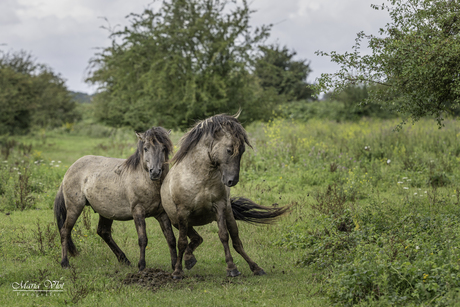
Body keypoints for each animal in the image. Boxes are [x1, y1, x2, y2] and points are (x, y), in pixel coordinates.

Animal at [53, 127, 177, 272]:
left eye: (163, 148)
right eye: (146, 148)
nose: (155, 172)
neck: (144, 180)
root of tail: (69, 170)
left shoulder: (162, 213)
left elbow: (171, 238)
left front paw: (175, 266)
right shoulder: (138, 211)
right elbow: (143, 239)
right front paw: (141, 266)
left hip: (106, 211)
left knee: (103, 232)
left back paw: (124, 260)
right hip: (74, 208)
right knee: (65, 231)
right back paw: (65, 263)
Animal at [161, 112, 288, 280]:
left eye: (242, 151)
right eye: (229, 150)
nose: (231, 180)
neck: (200, 178)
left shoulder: (220, 206)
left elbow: (224, 236)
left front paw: (232, 268)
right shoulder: (183, 212)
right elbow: (181, 242)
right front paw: (177, 272)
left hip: (228, 216)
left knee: (236, 242)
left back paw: (256, 267)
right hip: (179, 222)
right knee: (195, 239)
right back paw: (188, 260)